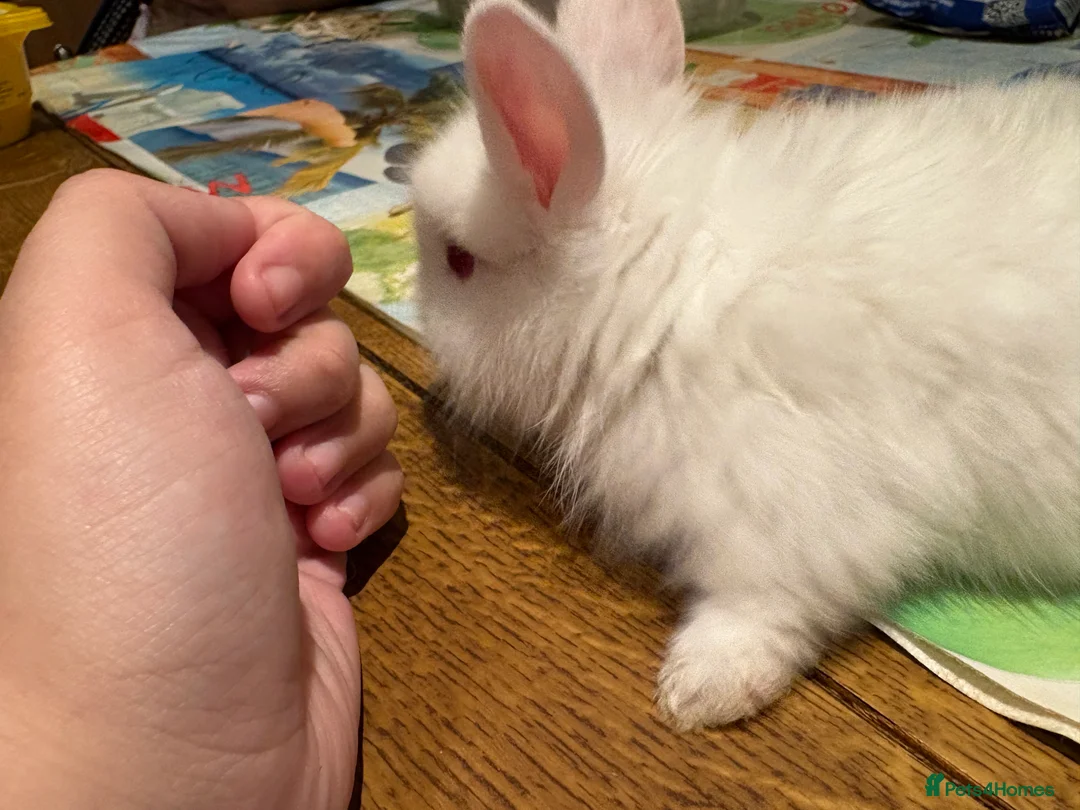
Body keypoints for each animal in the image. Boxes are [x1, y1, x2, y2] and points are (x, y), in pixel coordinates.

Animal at [408, 0, 1080, 730]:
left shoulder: (794, 512)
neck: (668, 284)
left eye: (459, 262)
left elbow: (763, 605)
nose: (421, 326)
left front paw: (697, 692)